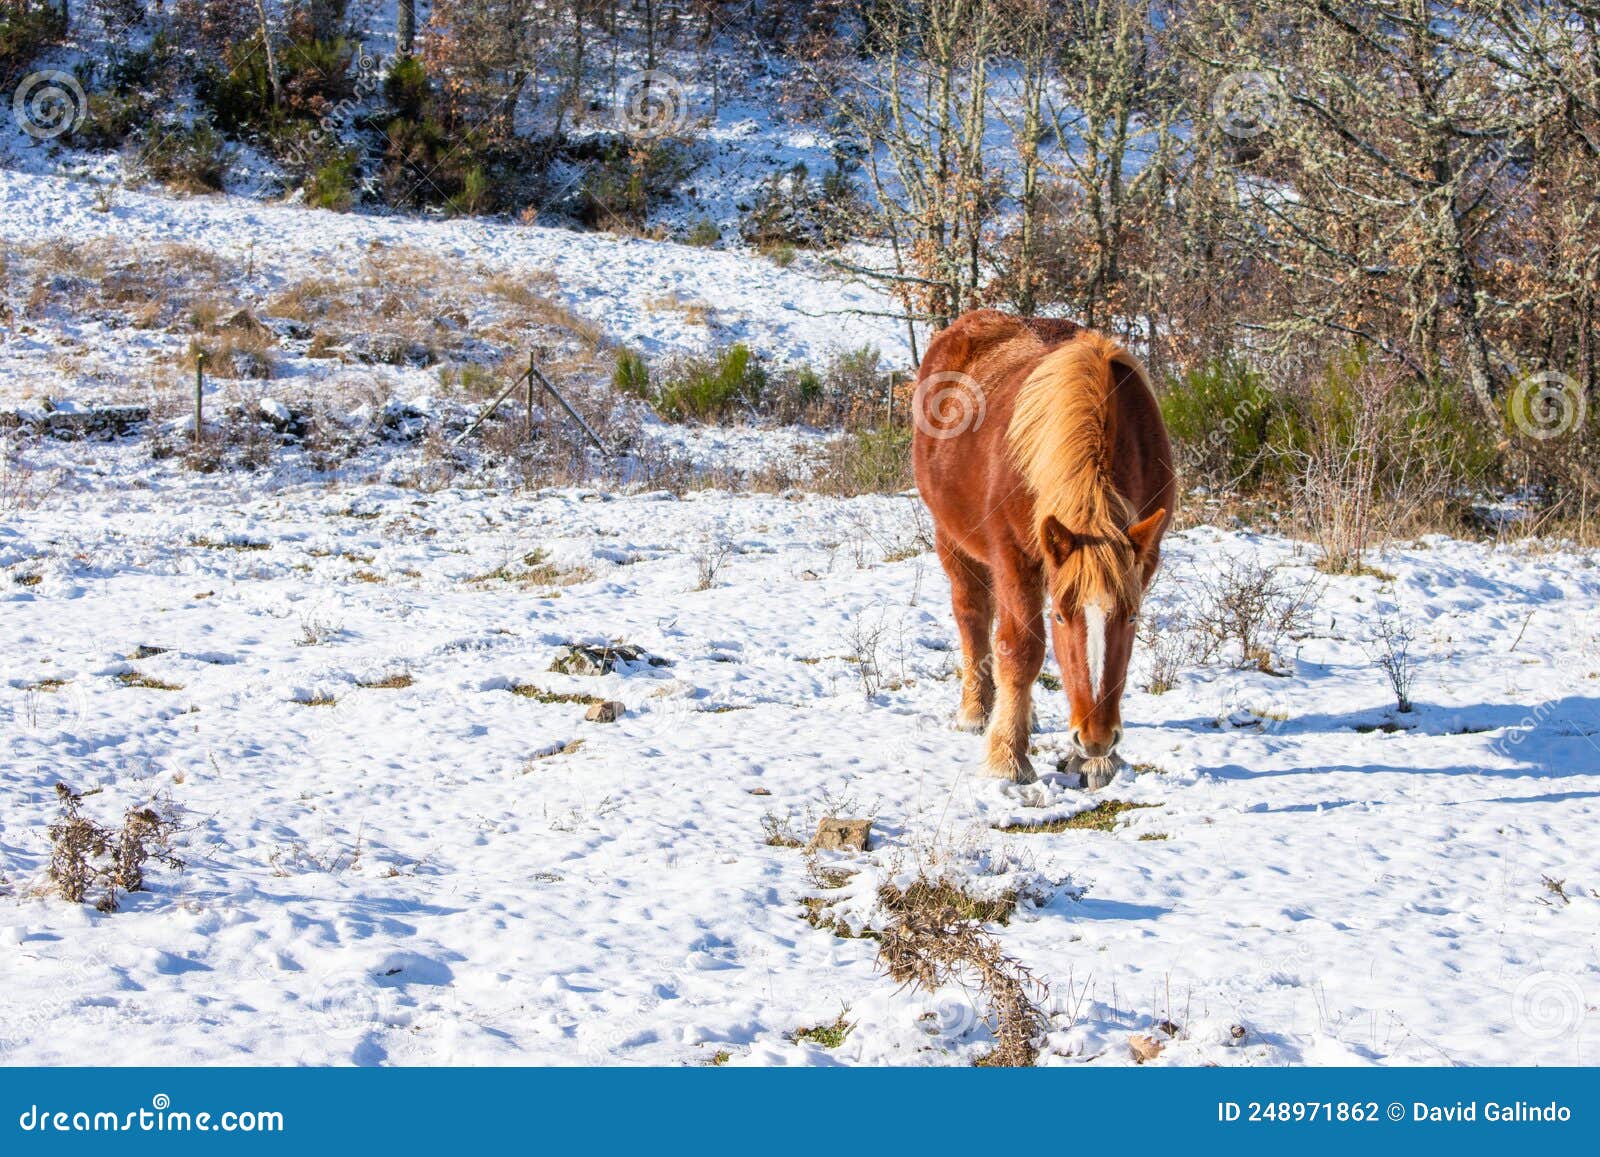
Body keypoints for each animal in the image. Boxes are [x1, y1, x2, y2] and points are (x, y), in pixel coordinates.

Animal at [911, 310, 1175, 786]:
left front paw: (1097, 763)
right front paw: (1008, 757)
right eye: (1061, 617)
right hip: (953, 540)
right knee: (973, 617)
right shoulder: (1014, 559)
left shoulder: (1143, 560)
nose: (1096, 738)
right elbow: (1021, 650)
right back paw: (978, 710)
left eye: (1131, 617)